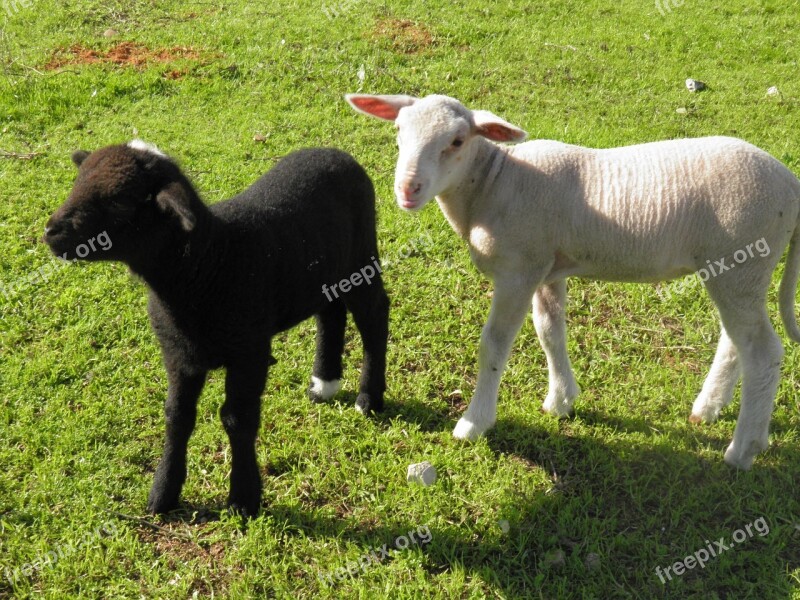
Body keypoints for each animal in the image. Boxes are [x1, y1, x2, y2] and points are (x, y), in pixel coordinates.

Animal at [43, 142, 390, 516]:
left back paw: (369, 398)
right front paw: (162, 495)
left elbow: (237, 419)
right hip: (323, 272)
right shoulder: (178, 354)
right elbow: (177, 417)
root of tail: (336, 152)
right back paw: (324, 384)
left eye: (121, 202)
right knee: (331, 313)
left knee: (375, 315)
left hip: (361, 259)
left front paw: (243, 498)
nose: (51, 231)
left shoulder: (250, 353)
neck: (210, 261)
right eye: (77, 181)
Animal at [346, 92, 800, 468]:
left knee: (762, 352)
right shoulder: (545, 265)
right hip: (732, 270)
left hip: (743, 261)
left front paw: (474, 422)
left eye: (457, 141)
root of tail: (790, 183)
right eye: (399, 131)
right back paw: (707, 408)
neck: (493, 183)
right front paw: (561, 400)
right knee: (735, 342)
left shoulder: (517, 269)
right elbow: (550, 331)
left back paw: (742, 450)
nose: (408, 189)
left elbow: (494, 344)